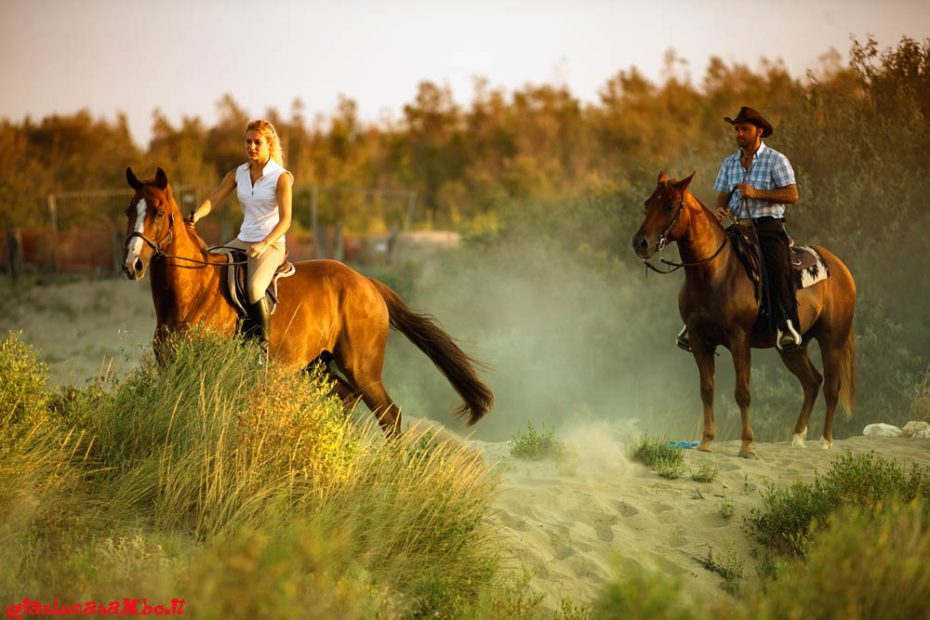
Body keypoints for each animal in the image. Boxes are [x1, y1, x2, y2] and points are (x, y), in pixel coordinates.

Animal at [123, 167, 492, 434]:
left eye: (159, 213)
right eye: (129, 211)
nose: (132, 265)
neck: (194, 295)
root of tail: (367, 283)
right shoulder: (172, 370)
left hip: (362, 368)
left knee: (389, 416)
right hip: (318, 365)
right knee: (346, 401)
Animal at [632, 172, 856, 458]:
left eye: (669, 205)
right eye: (647, 204)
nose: (640, 243)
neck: (714, 272)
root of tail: (840, 267)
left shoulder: (739, 340)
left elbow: (742, 392)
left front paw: (747, 445)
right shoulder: (699, 340)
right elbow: (707, 389)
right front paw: (706, 441)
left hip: (832, 340)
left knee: (831, 387)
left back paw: (826, 441)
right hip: (792, 346)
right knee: (812, 382)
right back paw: (797, 438)